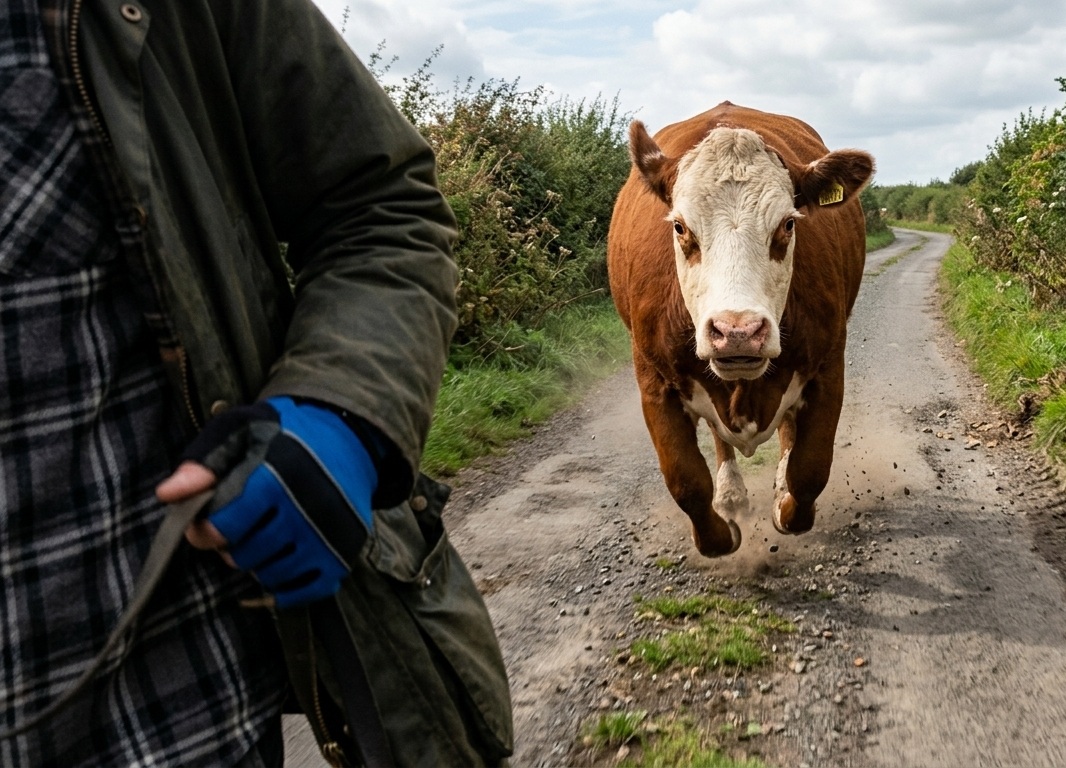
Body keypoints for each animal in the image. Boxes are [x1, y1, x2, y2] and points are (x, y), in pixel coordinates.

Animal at [607, 101, 874, 557]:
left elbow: (810, 468)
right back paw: (730, 494)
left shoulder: (828, 368)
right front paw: (720, 533)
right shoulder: (653, 380)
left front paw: (786, 505)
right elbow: (685, 480)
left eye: (788, 224)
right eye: (680, 226)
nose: (737, 332)